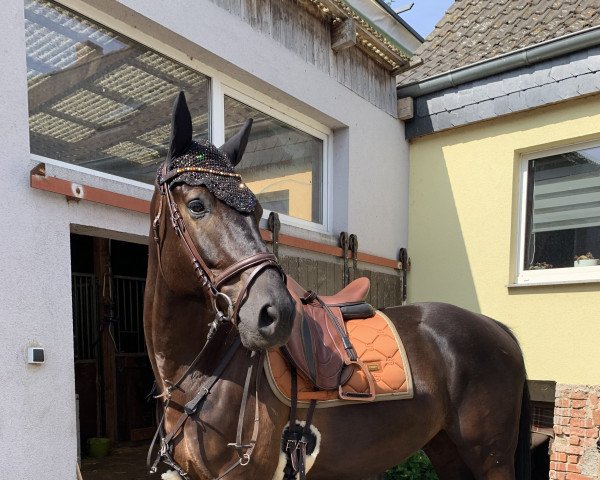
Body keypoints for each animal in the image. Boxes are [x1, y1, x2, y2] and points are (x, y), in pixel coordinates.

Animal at [144, 93, 528, 480]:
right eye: (196, 204)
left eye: (257, 211)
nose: (276, 314)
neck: (200, 373)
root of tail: (496, 328)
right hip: (447, 449)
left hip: (490, 458)